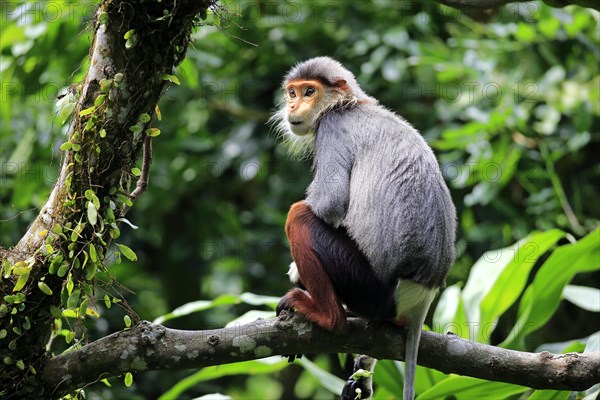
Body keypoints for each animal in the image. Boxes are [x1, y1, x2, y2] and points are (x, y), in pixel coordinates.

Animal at [270, 56, 458, 400]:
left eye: (309, 92)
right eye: (292, 92)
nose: (292, 105)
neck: (347, 105)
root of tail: (423, 292)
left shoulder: (332, 130)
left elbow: (329, 204)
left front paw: (295, 271)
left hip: (368, 286)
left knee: (299, 215)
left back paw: (327, 316)